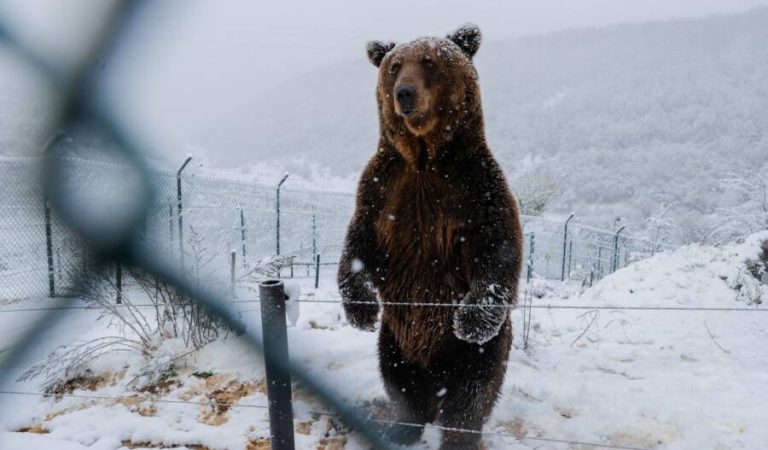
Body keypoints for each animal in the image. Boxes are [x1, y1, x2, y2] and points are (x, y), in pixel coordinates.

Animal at [340, 24, 524, 450]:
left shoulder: (476, 187)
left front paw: (471, 320)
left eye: (429, 61)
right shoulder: (382, 189)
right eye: (394, 65)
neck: (424, 157)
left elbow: (499, 247)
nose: (404, 93)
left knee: (472, 394)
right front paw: (361, 308)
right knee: (399, 380)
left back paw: (458, 436)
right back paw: (401, 427)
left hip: (476, 354)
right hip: (396, 336)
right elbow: (358, 242)